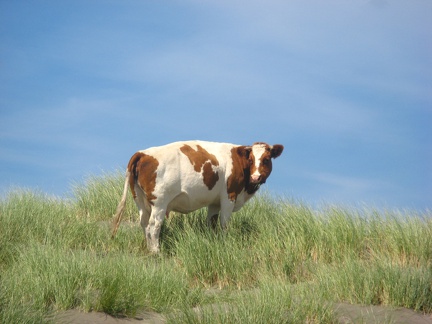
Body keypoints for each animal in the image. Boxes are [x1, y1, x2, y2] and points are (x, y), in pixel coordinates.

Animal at [111, 140, 284, 253]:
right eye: (251, 159)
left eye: (266, 159)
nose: (256, 177)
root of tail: (142, 153)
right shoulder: (229, 196)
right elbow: (224, 223)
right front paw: (225, 242)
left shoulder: (214, 202)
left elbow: (211, 223)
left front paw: (213, 241)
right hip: (159, 202)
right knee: (154, 225)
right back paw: (156, 251)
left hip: (139, 199)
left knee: (144, 223)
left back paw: (149, 249)